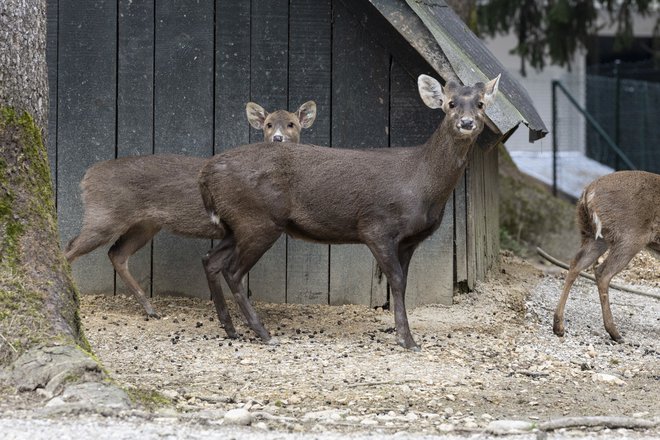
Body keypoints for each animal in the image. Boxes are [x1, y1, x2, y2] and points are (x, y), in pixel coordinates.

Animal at [65, 101, 318, 318]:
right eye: (268, 124)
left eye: (291, 124)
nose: (277, 138)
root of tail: (86, 177)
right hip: (104, 215)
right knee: (71, 248)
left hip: (145, 224)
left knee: (116, 253)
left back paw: (151, 309)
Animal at [199, 75, 498, 350]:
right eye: (450, 103)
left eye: (481, 104)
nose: (467, 123)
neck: (420, 185)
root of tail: (207, 172)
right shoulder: (376, 226)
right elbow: (397, 280)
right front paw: (408, 340)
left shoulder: (409, 240)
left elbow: (403, 282)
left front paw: (403, 335)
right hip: (259, 219)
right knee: (233, 271)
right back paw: (264, 333)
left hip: (238, 223)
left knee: (211, 260)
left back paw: (231, 328)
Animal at [556, 170, 656, 342]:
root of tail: (588, 193)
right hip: (628, 237)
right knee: (603, 272)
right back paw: (615, 333)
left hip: (593, 235)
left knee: (576, 263)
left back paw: (558, 326)